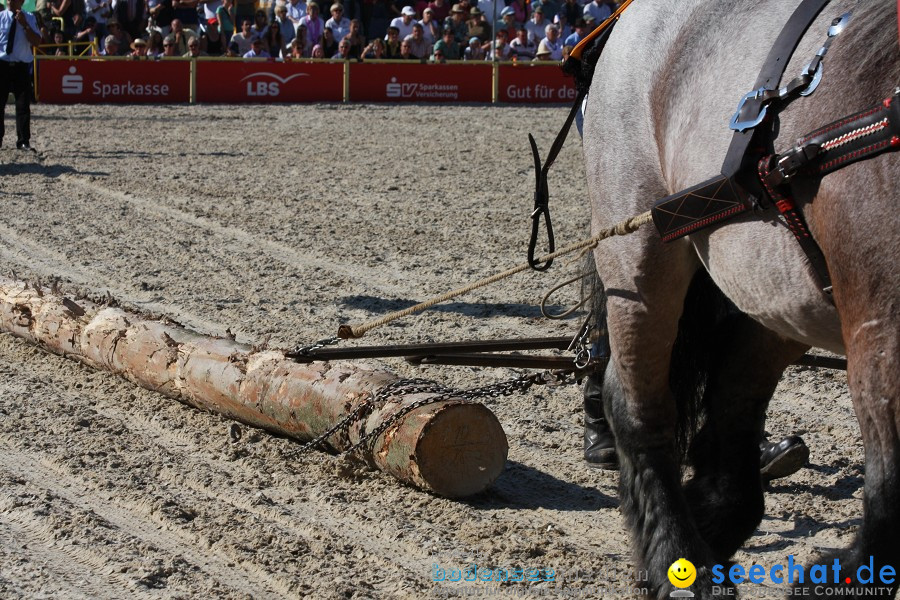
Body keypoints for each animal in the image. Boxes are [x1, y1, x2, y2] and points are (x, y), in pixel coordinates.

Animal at [584, 0, 900, 596]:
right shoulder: (880, 325)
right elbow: (892, 482)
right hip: (640, 251)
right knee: (638, 403)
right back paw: (680, 559)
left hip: (778, 288)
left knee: (733, 393)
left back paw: (717, 518)